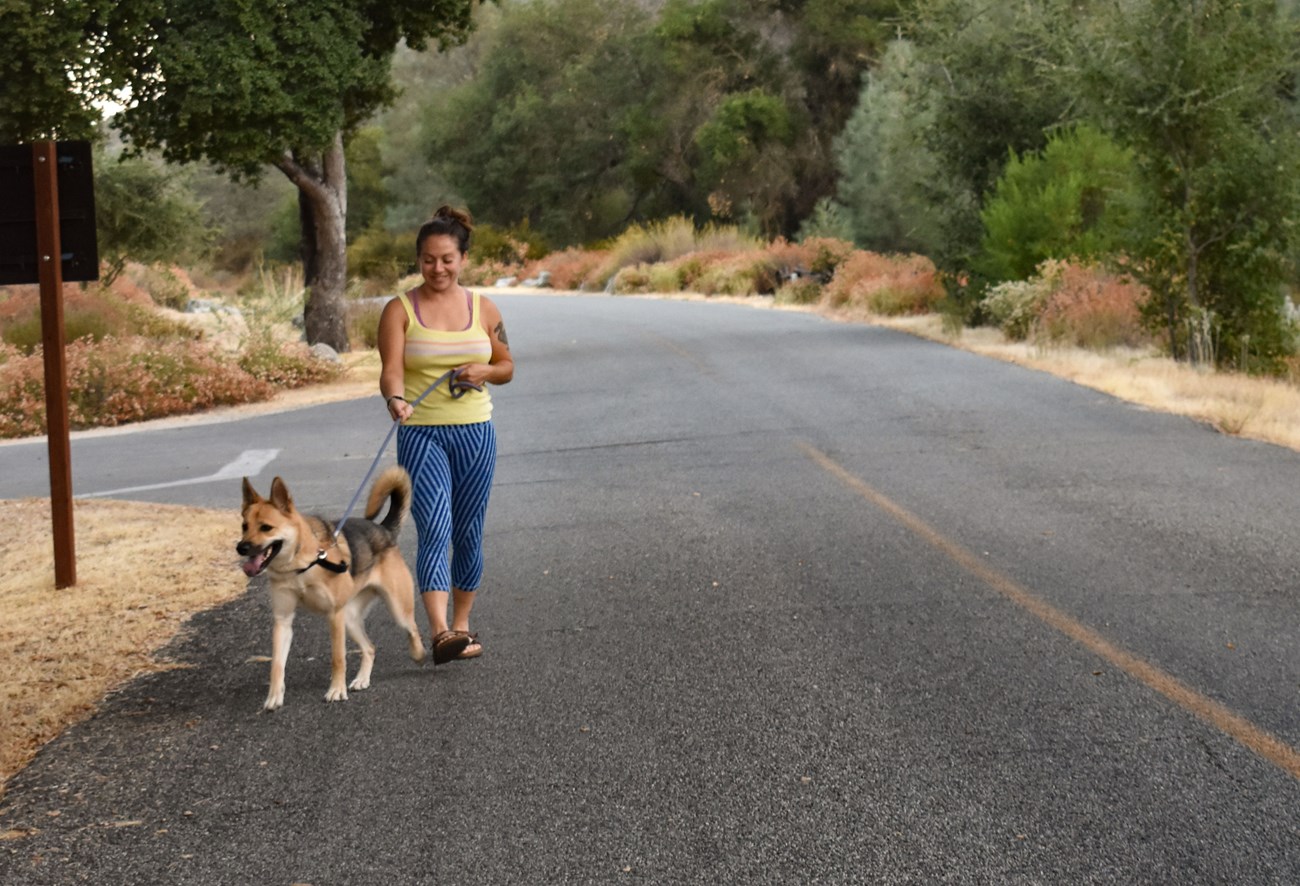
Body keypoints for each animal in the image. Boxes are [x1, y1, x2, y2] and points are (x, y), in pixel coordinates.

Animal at [236, 465, 428, 706]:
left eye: (266, 528)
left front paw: (336, 689)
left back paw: (419, 654)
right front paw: (274, 696)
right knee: (370, 648)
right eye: (244, 526)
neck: (301, 565)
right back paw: (362, 679)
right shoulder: (283, 621)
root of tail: (383, 530)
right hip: (351, 619)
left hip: (396, 609)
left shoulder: (334, 615)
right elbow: (276, 664)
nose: (241, 548)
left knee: (412, 628)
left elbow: (338, 658)